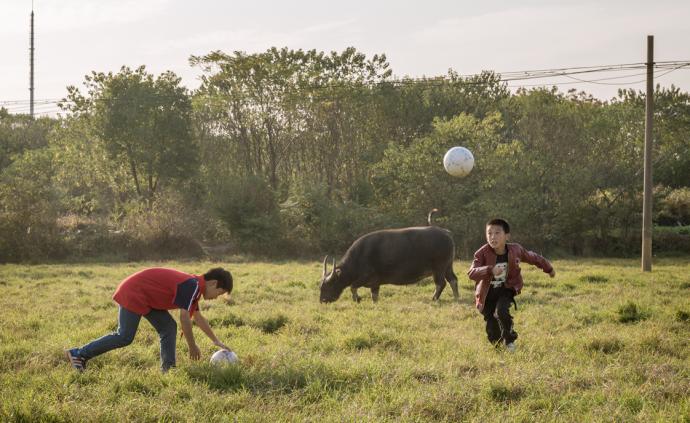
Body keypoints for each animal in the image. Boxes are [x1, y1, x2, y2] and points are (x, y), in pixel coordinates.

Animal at [318, 211, 456, 304]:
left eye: (329, 285)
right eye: (321, 287)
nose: (322, 300)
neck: (359, 257)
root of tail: (446, 233)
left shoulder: (365, 277)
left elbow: (352, 286)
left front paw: (357, 298)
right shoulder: (375, 283)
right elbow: (374, 296)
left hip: (439, 268)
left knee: (441, 283)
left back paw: (434, 298)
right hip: (448, 266)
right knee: (453, 280)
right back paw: (456, 297)